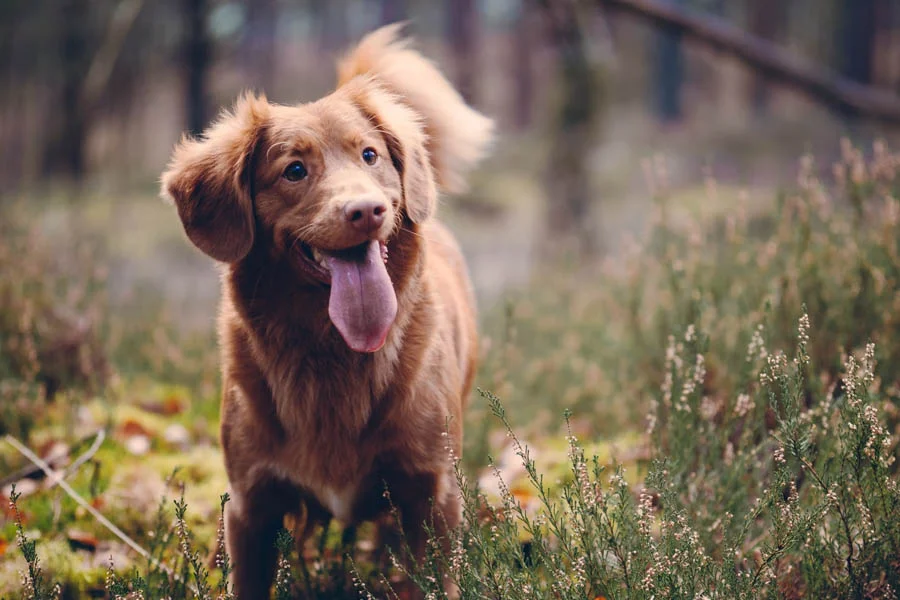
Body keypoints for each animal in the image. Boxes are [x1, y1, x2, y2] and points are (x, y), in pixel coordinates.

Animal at [160, 24, 492, 600]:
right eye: (294, 170)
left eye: (370, 155)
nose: (367, 211)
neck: (330, 350)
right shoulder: (252, 505)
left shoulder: (432, 494)